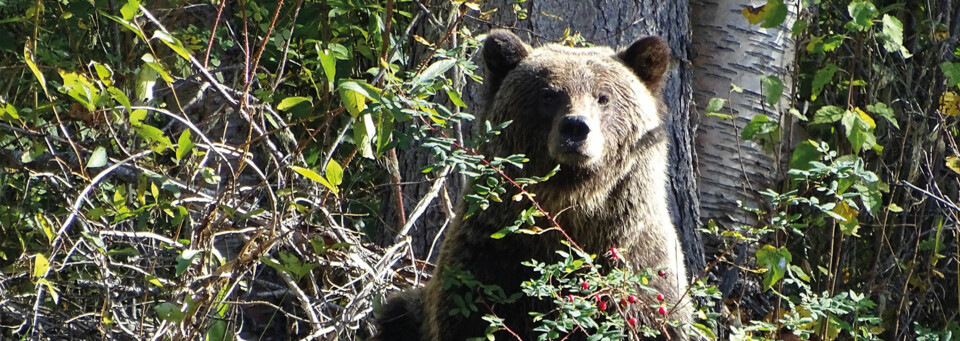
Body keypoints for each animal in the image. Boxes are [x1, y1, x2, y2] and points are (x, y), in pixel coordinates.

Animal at [376, 29, 688, 340]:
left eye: (603, 97)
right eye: (548, 94)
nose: (576, 127)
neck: (573, 202)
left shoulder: (642, 268)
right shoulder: (487, 264)